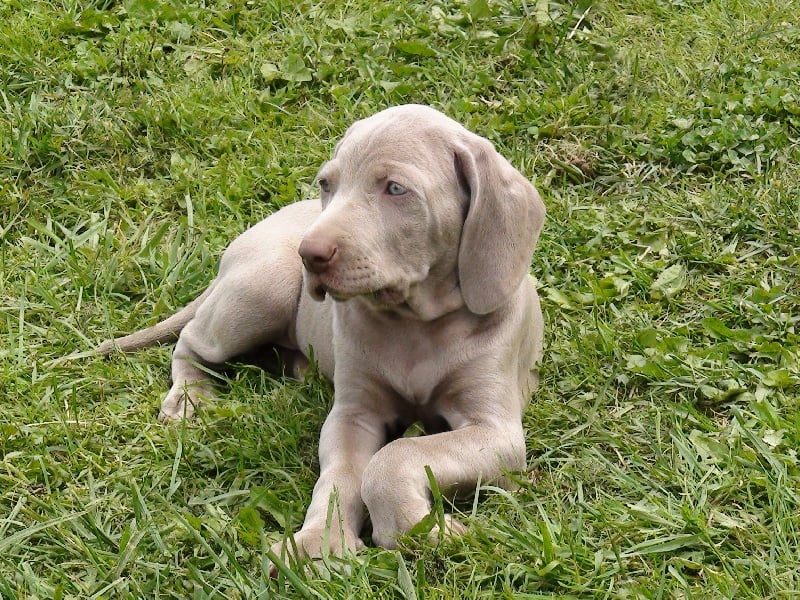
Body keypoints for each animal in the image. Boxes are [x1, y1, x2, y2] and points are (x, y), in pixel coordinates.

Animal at [97, 104, 546, 568]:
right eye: (327, 184)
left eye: (395, 188)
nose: (308, 254)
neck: (415, 322)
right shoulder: (353, 414)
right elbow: (341, 473)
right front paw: (320, 541)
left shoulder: (498, 433)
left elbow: (395, 455)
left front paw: (415, 528)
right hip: (264, 286)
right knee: (190, 341)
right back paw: (189, 400)